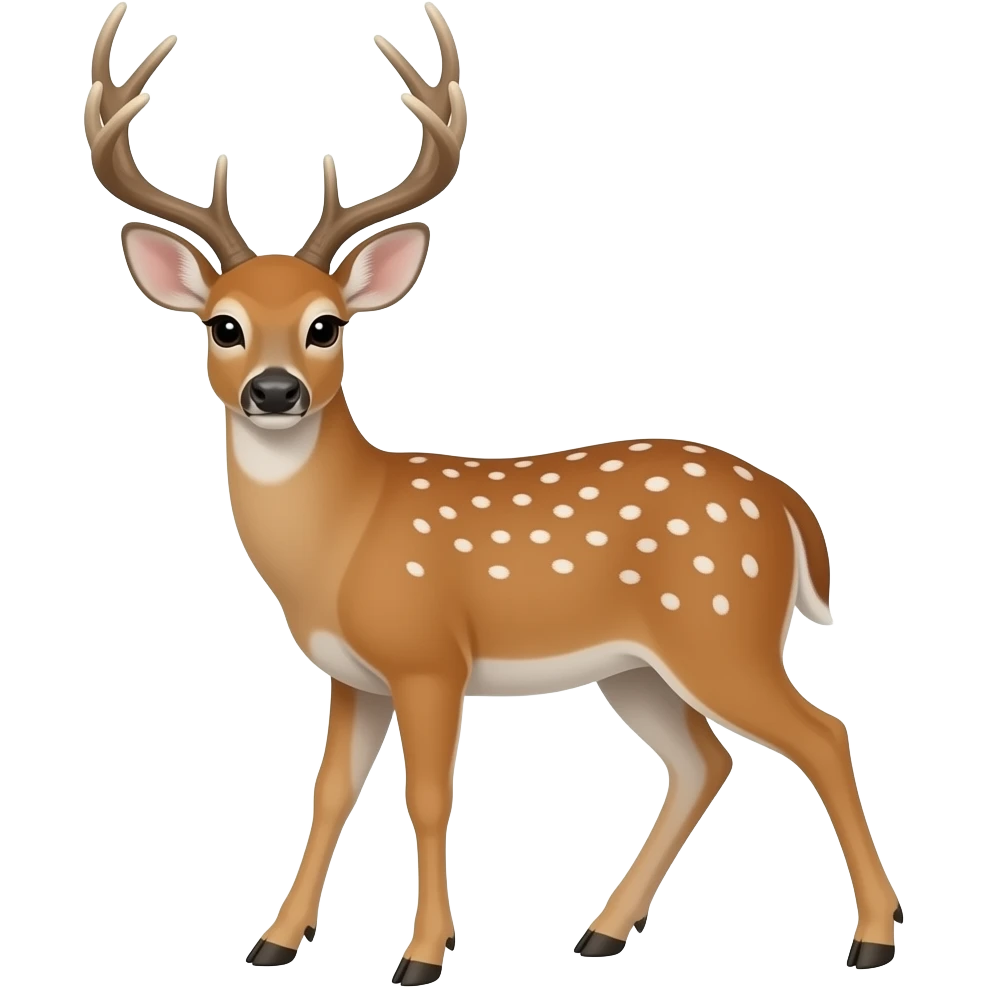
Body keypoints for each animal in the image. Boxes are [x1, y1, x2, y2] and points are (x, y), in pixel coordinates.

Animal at [85, 2, 901, 980]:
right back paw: (601, 931)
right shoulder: (353, 675)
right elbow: (329, 792)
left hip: (720, 627)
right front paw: (275, 941)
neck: (344, 536)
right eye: (223, 326)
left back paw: (871, 938)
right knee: (704, 762)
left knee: (822, 734)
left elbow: (428, 796)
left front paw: (422, 955)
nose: (273, 392)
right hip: (637, 665)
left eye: (327, 326)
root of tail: (785, 502)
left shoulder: (429, 654)